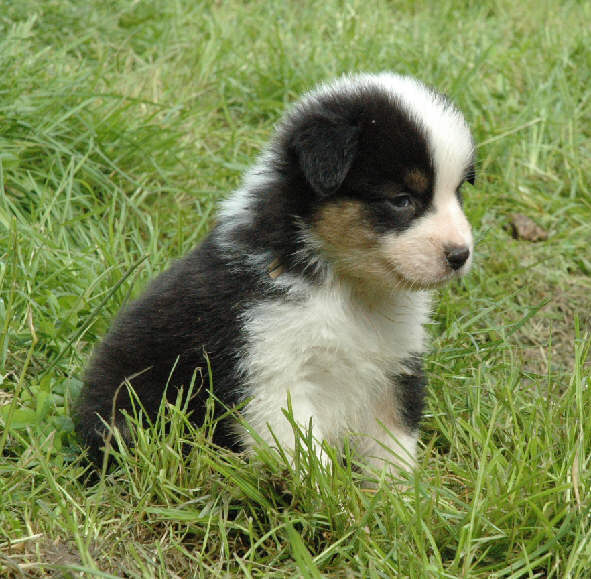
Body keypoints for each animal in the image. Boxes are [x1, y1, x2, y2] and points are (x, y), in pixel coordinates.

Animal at [77, 72, 476, 476]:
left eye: (457, 193)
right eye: (401, 200)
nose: (460, 254)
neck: (346, 287)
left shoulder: (394, 366)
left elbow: (393, 444)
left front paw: (398, 493)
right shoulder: (271, 366)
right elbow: (303, 451)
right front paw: (328, 492)